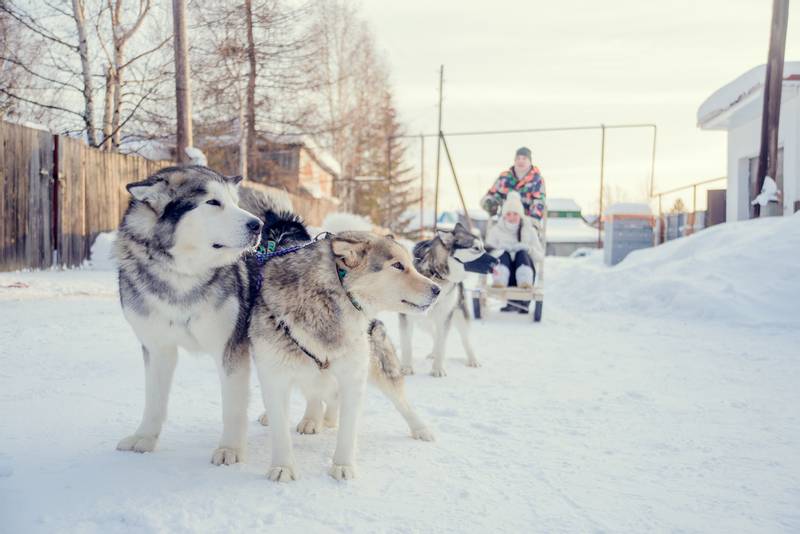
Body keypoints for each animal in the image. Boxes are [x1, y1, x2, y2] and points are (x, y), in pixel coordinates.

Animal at [396, 224, 496, 378]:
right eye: (476, 248)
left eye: (483, 248)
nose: (498, 261)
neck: (436, 273)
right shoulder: (407, 317)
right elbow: (407, 345)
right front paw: (406, 367)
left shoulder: (444, 317)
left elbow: (442, 345)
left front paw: (438, 368)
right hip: (423, 322)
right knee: (434, 334)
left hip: (458, 317)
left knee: (465, 339)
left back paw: (472, 359)